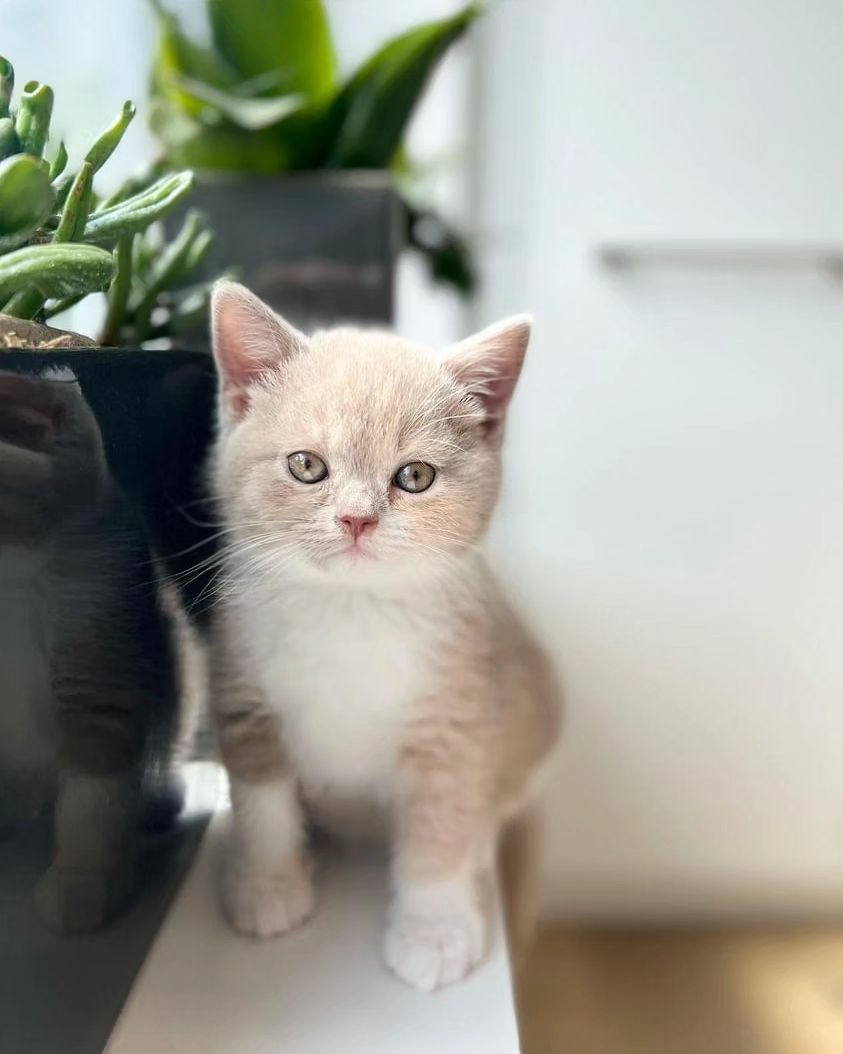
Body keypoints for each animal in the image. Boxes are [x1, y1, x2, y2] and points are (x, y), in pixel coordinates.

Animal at [207, 284, 556, 990]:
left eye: (415, 477)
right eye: (306, 466)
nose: (357, 519)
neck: (350, 611)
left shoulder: (459, 712)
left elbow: (441, 824)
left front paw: (434, 930)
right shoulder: (244, 691)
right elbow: (262, 802)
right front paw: (267, 885)